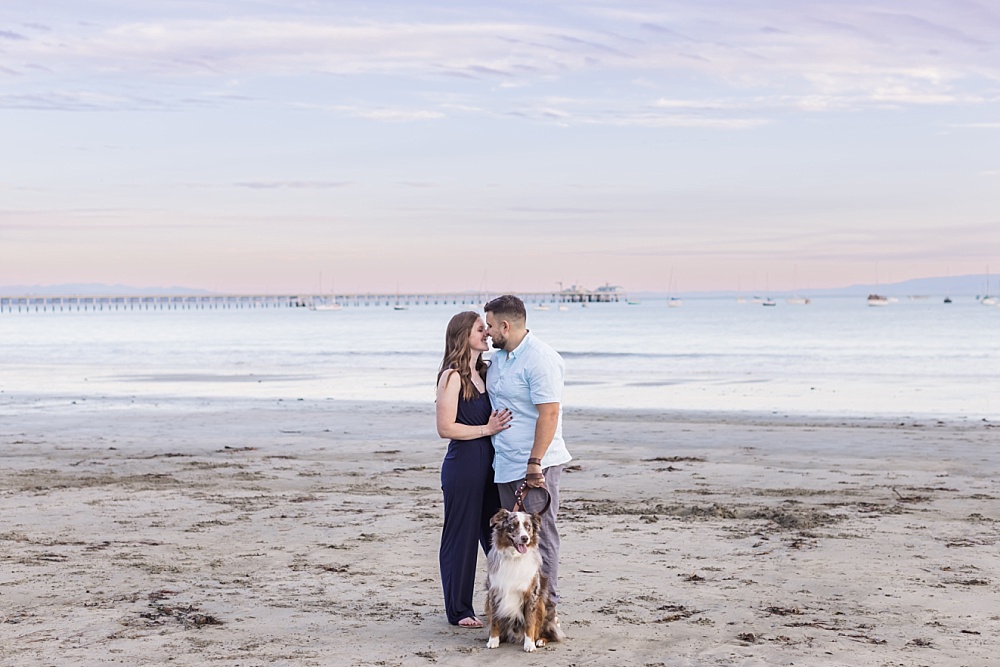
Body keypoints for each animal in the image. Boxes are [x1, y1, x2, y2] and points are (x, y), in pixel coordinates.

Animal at [486, 512, 568, 652]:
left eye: (528, 527)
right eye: (513, 526)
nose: (525, 538)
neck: (514, 558)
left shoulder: (532, 595)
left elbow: (530, 622)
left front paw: (529, 644)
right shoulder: (494, 593)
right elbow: (494, 620)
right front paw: (493, 640)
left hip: (543, 605)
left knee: (549, 632)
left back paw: (540, 640)